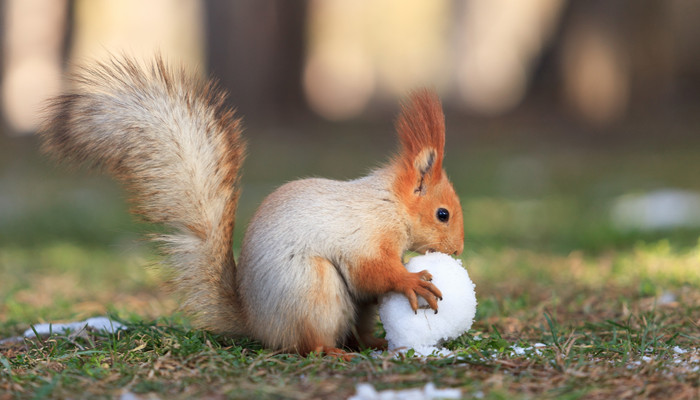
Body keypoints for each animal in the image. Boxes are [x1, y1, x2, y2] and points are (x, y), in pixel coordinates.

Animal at [38, 55, 464, 356]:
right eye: (442, 214)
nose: (458, 251)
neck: (388, 204)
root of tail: (257, 324)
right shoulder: (365, 235)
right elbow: (371, 272)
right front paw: (411, 280)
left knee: (353, 331)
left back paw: (372, 344)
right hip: (311, 289)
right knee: (306, 344)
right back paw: (330, 351)